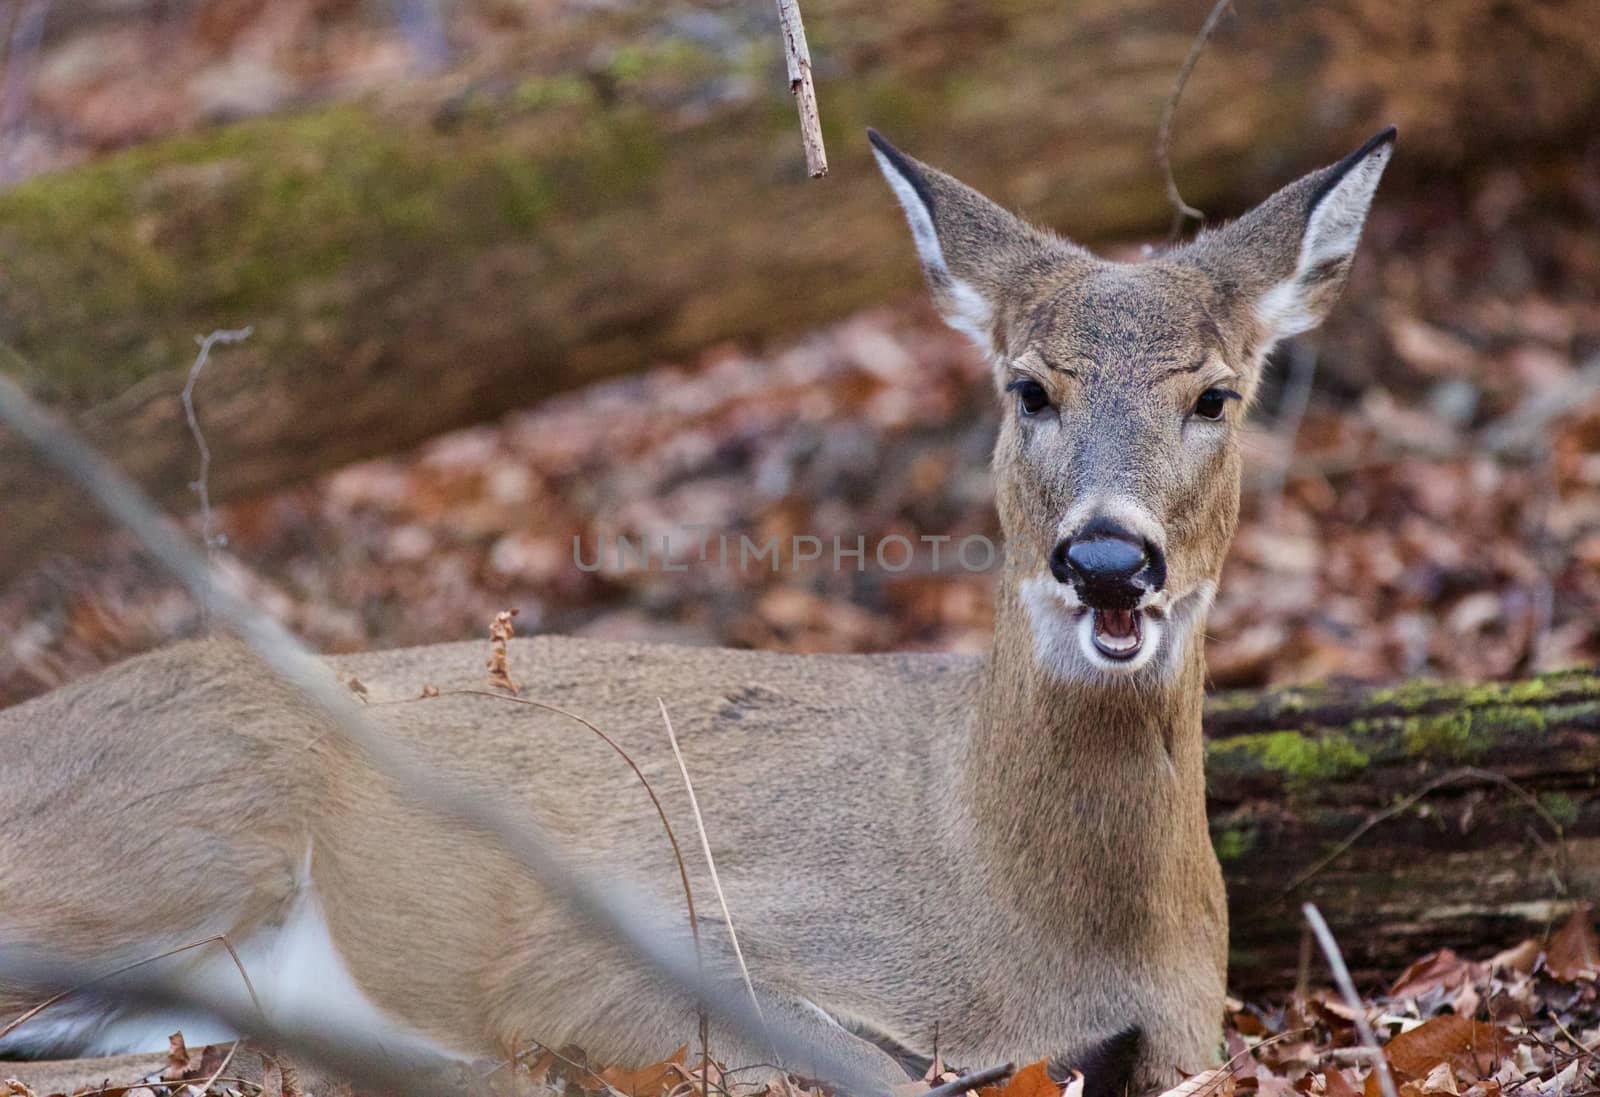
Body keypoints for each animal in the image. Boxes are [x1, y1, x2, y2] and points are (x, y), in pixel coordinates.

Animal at [0, 127, 1395, 1097]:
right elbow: (857, 1064)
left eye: (1215, 394)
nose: (1108, 558)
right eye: (1027, 388)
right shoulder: (630, 926)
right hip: (196, 799)